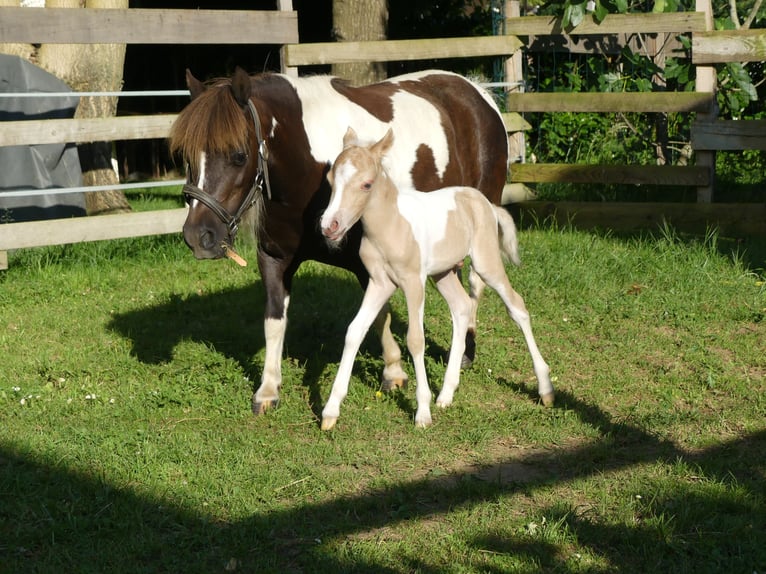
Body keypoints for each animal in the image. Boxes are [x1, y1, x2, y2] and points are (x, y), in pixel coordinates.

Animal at [168, 67, 509, 415]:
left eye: (238, 156)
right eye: (185, 156)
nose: (199, 237)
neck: (306, 171)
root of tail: (477, 92)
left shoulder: (368, 262)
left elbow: (380, 316)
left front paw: (393, 372)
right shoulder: (274, 259)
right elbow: (274, 319)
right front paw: (268, 389)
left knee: (475, 284)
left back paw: (467, 350)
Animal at [319, 128, 554, 430]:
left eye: (367, 184)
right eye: (330, 181)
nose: (329, 226)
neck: (390, 224)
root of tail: (486, 204)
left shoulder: (413, 282)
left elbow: (415, 340)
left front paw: (422, 412)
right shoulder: (379, 283)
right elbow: (354, 332)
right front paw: (330, 411)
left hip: (486, 262)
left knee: (517, 307)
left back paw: (545, 389)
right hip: (443, 273)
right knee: (462, 307)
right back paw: (446, 394)